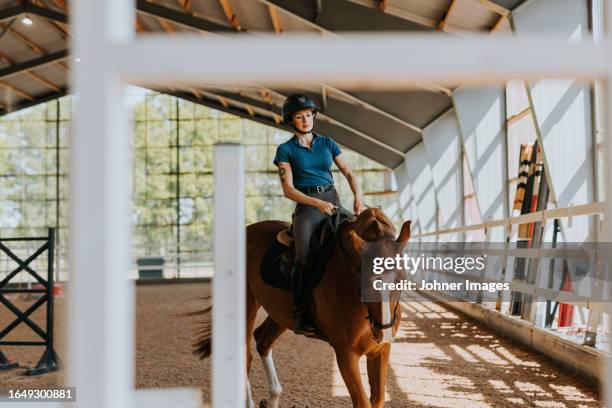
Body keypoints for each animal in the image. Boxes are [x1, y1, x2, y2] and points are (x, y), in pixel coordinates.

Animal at [194, 209, 408, 408]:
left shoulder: (381, 350)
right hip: (246, 304)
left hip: (280, 314)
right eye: (363, 282)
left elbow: (378, 399)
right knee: (245, 355)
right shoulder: (346, 353)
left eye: (401, 280)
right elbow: (363, 402)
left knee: (263, 339)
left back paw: (272, 398)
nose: (383, 333)